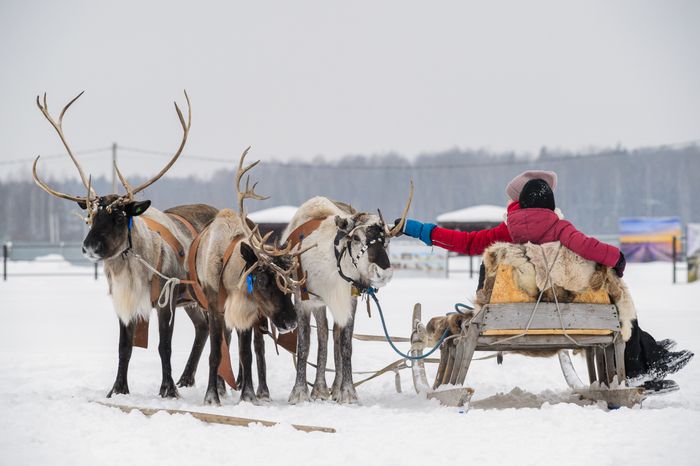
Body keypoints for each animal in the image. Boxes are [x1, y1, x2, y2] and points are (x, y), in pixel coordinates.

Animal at [32, 91, 216, 398]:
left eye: (119, 216)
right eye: (91, 216)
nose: (90, 247)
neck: (133, 269)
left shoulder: (166, 298)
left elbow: (164, 347)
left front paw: (167, 390)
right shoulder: (123, 299)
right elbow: (124, 347)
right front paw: (117, 389)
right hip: (191, 300)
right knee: (203, 328)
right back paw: (186, 379)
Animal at [188, 148, 309, 405]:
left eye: (288, 286)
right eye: (262, 280)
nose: (291, 322)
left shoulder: (249, 311)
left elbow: (247, 354)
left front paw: (249, 395)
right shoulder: (215, 306)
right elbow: (216, 352)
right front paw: (212, 396)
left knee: (258, 348)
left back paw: (261, 390)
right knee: (225, 343)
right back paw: (222, 386)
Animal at [282, 186, 412, 404]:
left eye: (386, 241)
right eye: (357, 238)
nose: (383, 272)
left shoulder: (349, 302)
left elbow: (345, 346)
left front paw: (348, 392)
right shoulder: (303, 300)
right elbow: (304, 345)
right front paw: (299, 392)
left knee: (331, 336)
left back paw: (329, 388)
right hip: (318, 303)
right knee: (323, 334)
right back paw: (319, 388)